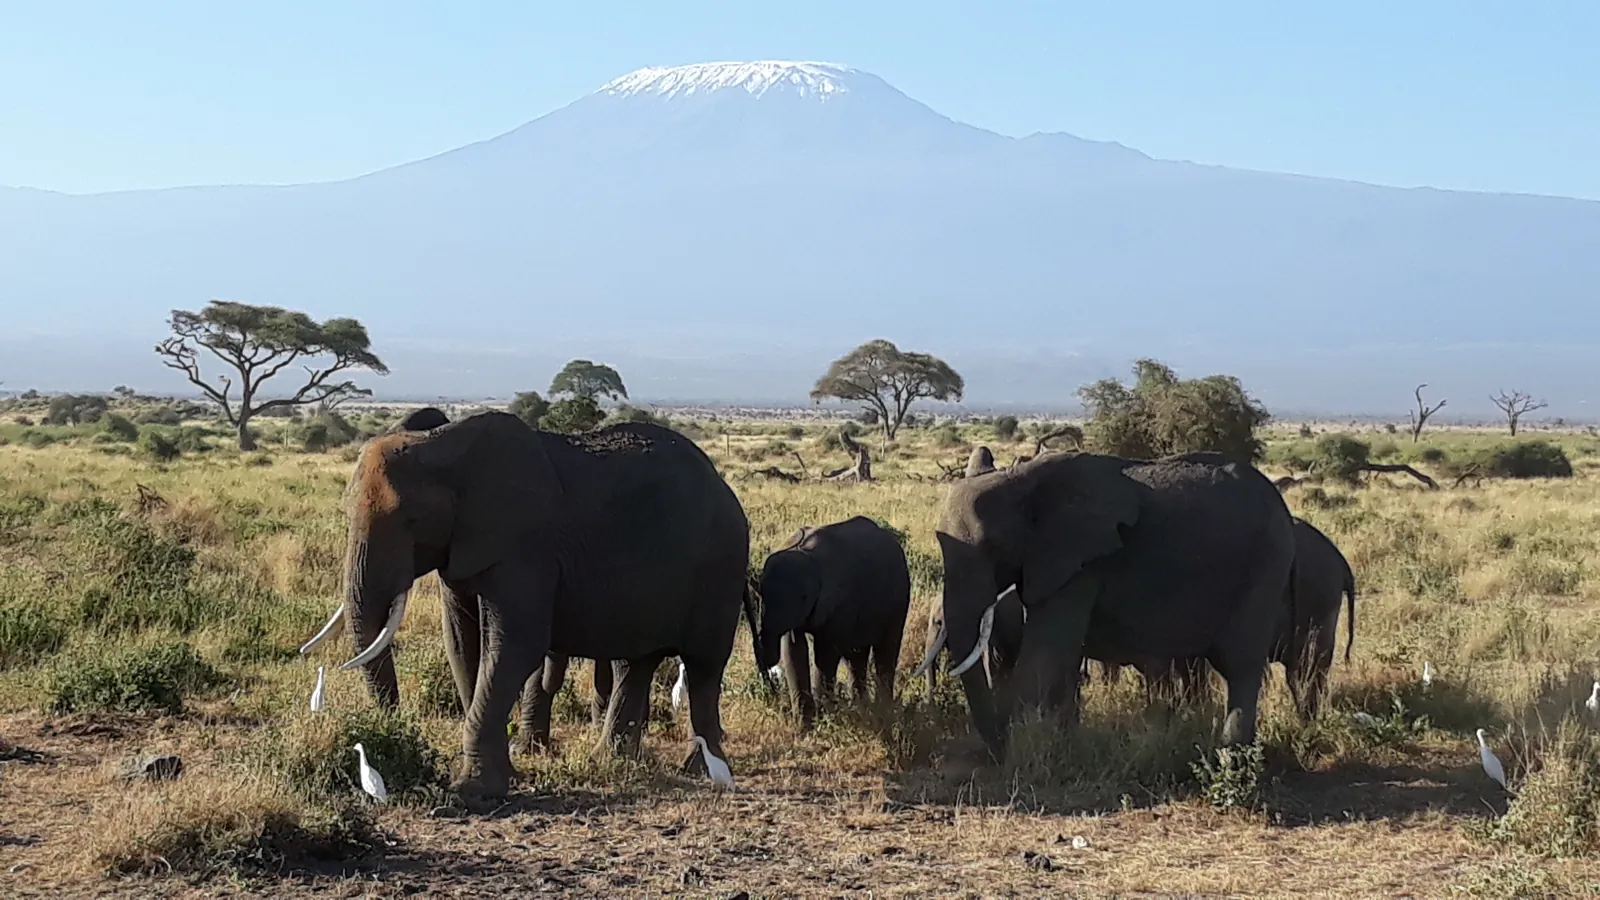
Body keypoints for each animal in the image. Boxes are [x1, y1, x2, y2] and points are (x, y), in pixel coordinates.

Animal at [298, 410, 754, 801]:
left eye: (411, 520)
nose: (394, 730)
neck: (444, 447)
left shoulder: (525, 543)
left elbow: (517, 644)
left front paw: (474, 791)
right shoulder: (464, 545)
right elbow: (463, 643)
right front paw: (506, 775)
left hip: (721, 566)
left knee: (703, 668)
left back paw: (700, 770)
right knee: (635, 663)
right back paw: (611, 760)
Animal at [755, 516, 912, 725]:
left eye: (804, 597)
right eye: (760, 593)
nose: (766, 662)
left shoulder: (839, 601)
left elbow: (825, 653)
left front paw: (824, 718)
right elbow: (793, 650)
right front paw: (805, 726)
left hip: (899, 598)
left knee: (885, 650)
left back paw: (883, 711)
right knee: (857, 657)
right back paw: (863, 707)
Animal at [922, 450, 1297, 758]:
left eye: (996, 546)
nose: (997, 746)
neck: (1023, 482)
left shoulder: (1082, 560)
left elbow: (1045, 653)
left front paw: (1025, 754)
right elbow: (1061, 655)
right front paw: (1059, 743)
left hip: (1267, 561)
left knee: (1241, 664)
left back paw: (1231, 759)